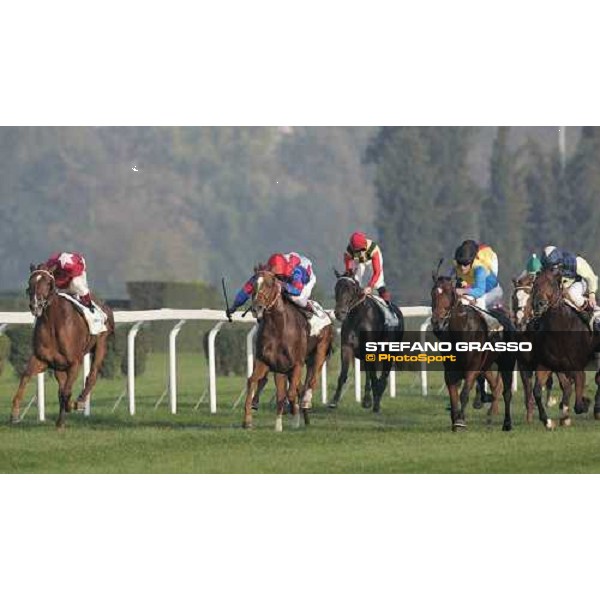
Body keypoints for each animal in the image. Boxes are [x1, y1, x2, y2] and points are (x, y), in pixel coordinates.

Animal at [9, 264, 115, 428]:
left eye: (48, 283)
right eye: (30, 283)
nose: (35, 305)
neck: (53, 324)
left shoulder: (74, 363)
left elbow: (66, 393)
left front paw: (64, 417)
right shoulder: (42, 359)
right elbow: (25, 377)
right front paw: (14, 413)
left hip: (101, 344)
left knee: (92, 375)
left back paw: (80, 401)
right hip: (59, 367)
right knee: (62, 387)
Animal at [241, 270, 332, 432]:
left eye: (269, 284)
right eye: (252, 284)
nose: (257, 308)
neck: (278, 328)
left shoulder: (297, 364)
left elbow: (290, 394)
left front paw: (294, 419)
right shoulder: (267, 362)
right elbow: (253, 381)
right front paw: (248, 421)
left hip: (320, 351)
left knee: (311, 381)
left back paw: (306, 403)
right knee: (297, 388)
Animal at [326, 272, 406, 412]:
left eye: (351, 289)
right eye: (336, 288)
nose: (339, 313)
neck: (358, 317)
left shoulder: (371, 349)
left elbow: (375, 376)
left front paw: (376, 403)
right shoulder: (347, 347)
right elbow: (343, 374)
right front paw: (334, 401)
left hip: (390, 351)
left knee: (384, 374)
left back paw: (377, 396)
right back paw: (368, 399)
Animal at [432, 274, 516, 434]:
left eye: (450, 293)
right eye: (433, 294)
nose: (437, 323)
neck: (462, 331)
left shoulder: (473, 366)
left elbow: (464, 393)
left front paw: (460, 422)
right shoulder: (450, 370)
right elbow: (453, 396)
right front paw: (455, 421)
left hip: (507, 362)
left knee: (507, 393)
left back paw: (507, 423)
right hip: (487, 364)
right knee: (494, 385)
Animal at [528, 268, 600, 426]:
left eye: (552, 283)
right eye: (535, 284)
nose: (539, 304)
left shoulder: (577, 367)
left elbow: (578, 404)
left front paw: (585, 403)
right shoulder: (547, 364)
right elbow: (538, 391)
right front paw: (548, 420)